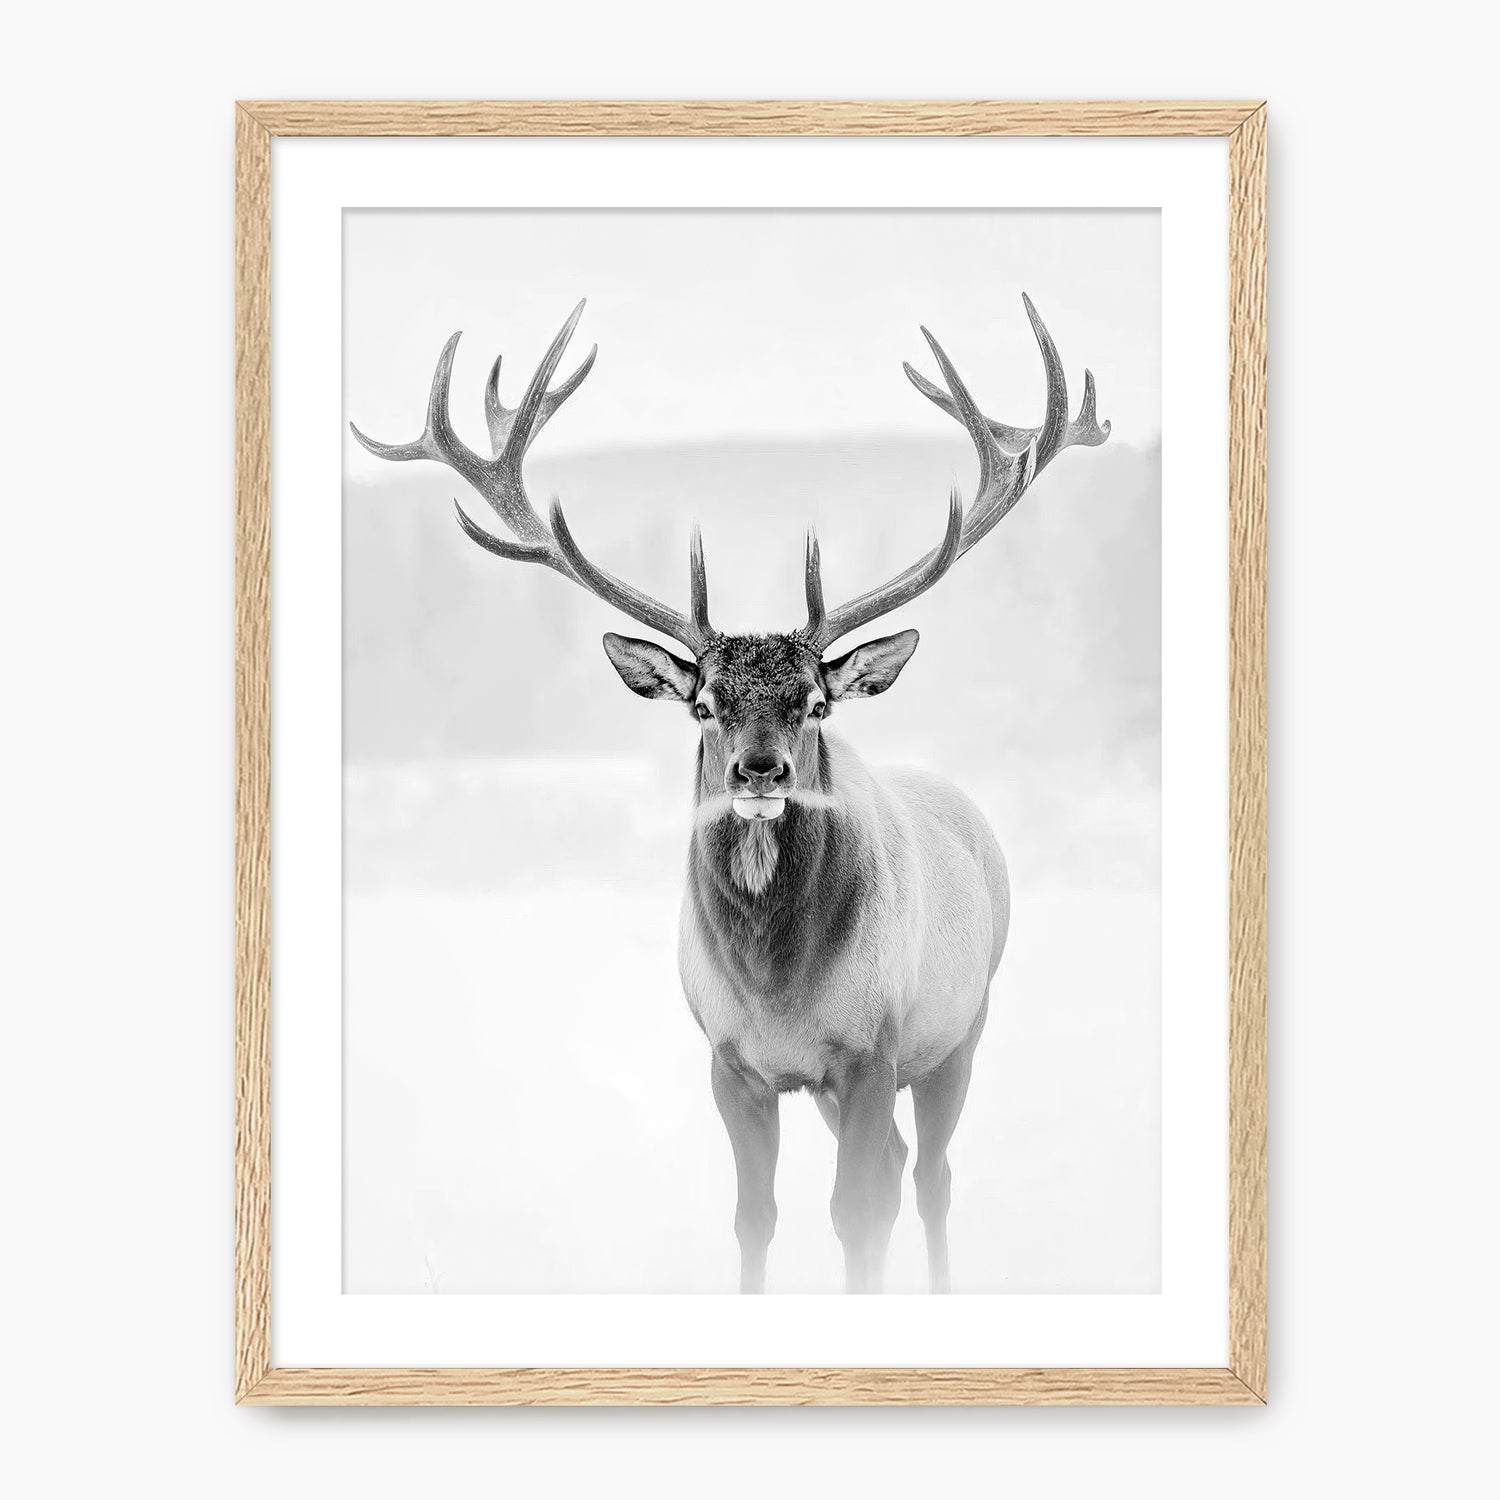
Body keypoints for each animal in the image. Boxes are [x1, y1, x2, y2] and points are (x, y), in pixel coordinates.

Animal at [351, 296, 1108, 1293]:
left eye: (815, 702)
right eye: (704, 703)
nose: (759, 771)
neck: (776, 986)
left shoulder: (871, 1048)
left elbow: (856, 1215)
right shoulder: (729, 1061)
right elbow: (757, 1218)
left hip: (961, 1024)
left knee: (931, 1176)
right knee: (905, 1163)